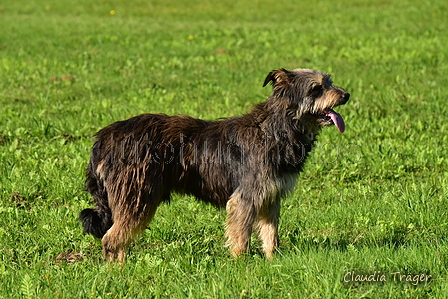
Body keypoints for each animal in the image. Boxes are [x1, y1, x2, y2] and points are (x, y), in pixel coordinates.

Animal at [78, 68, 350, 262]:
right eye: (317, 88)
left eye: (329, 81)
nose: (346, 95)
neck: (276, 129)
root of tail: (103, 138)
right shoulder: (245, 198)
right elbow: (241, 236)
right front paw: (241, 263)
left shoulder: (270, 196)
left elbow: (270, 233)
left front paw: (273, 260)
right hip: (137, 195)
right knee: (111, 239)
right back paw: (118, 271)